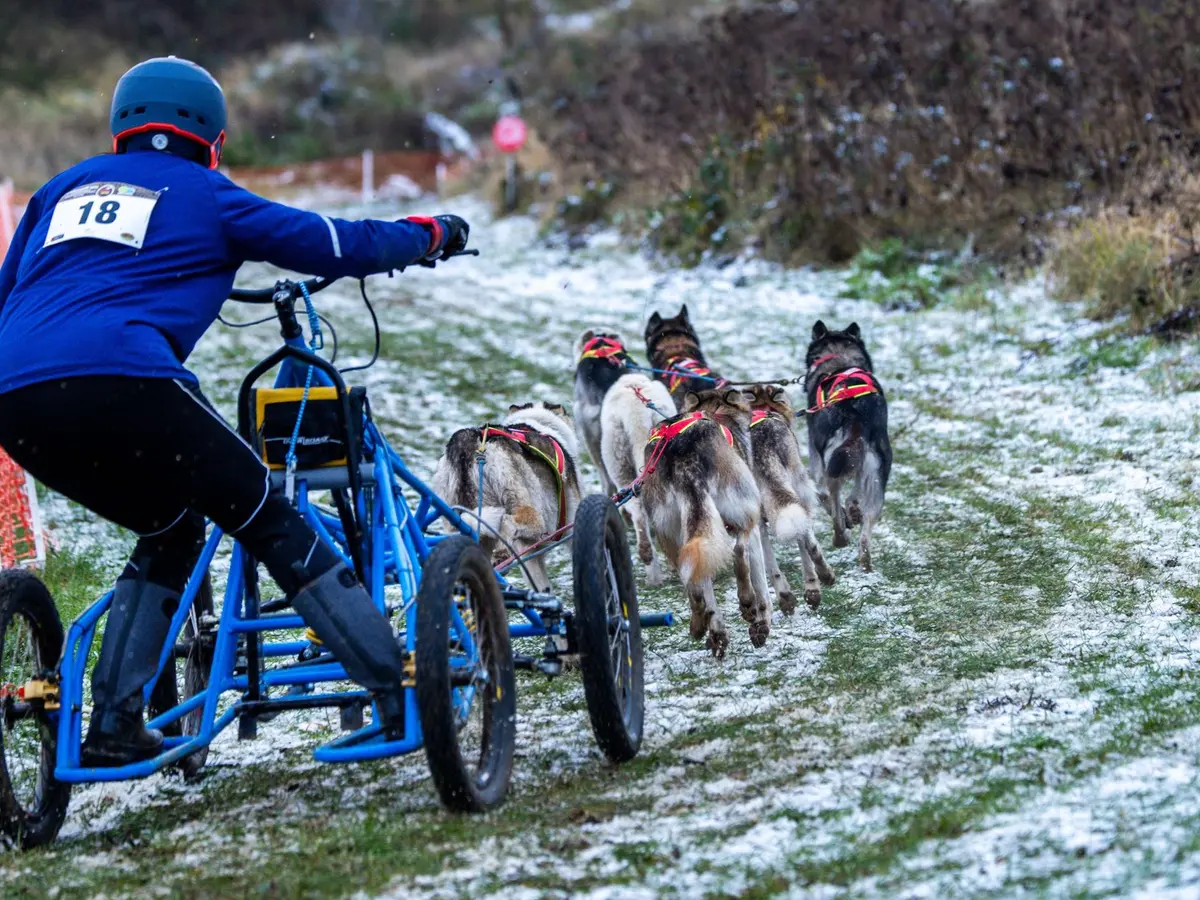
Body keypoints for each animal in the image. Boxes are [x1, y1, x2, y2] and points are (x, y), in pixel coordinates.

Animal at [638, 386, 768, 657]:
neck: (715, 410)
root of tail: (684, 459)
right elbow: (762, 585)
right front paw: (762, 622)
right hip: (742, 509)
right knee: (739, 551)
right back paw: (746, 602)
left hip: (673, 534)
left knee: (695, 583)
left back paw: (702, 625)